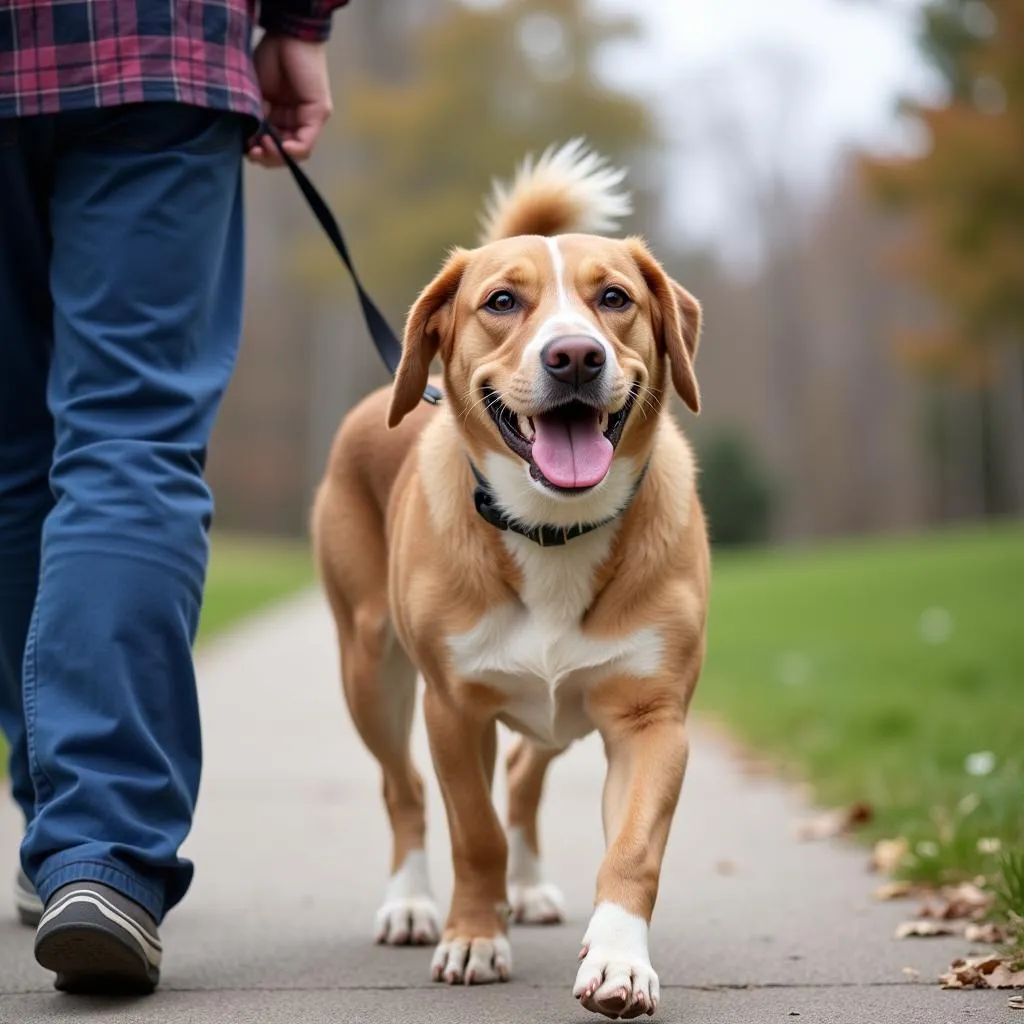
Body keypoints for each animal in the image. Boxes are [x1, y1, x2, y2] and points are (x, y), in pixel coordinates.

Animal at [311, 140, 708, 1019]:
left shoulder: (651, 717)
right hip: (370, 669)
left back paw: (524, 891)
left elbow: (633, 850)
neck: (554, 527)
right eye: (500, 301)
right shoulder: (454, 709)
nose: (575, 355)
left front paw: (619, 960)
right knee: (404, 790)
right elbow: (474, 830)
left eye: (614, 298)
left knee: (528, 773)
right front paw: (473, 936)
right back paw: (413, 903)